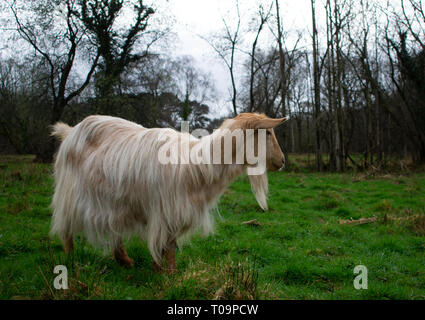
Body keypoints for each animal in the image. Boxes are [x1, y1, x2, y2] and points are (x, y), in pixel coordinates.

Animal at [51, 112, 286, 272]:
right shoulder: (167, 210)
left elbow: (166, 245)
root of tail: (70, 131)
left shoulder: (172, 213)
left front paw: (159, 269)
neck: (199, 166)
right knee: (66, 226)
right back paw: (71, 257)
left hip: (113, 201)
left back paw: (124, 260)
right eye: (267, 132)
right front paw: (170, 275)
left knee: (113, 228)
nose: (283, 161)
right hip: (70, 192)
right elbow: (169, 246)